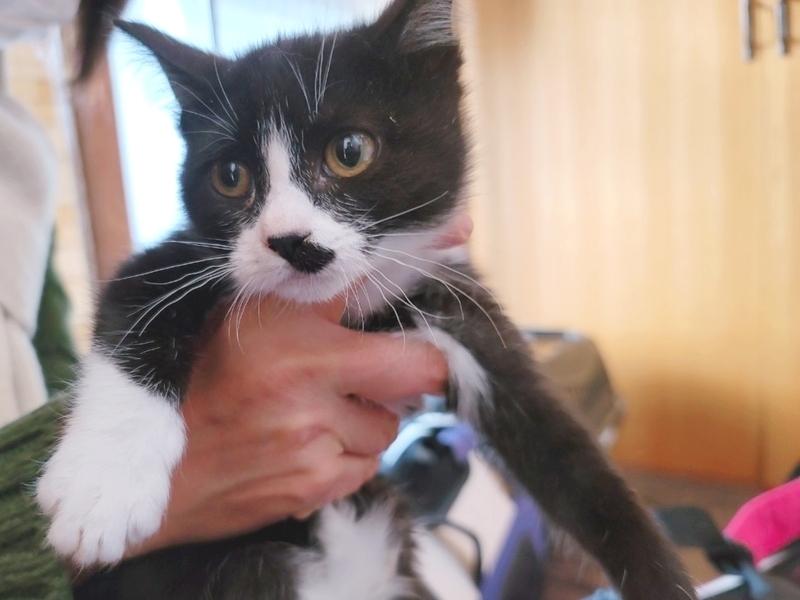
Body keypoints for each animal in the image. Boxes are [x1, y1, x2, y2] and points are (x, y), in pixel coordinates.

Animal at [38, 1, 696, 598]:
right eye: (230, 176)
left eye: (349, 152)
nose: (290, 241)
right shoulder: (185, 258)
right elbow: (135, 299)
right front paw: (101, 488)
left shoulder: (455, 299)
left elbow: (565, 454)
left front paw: (659, 576)